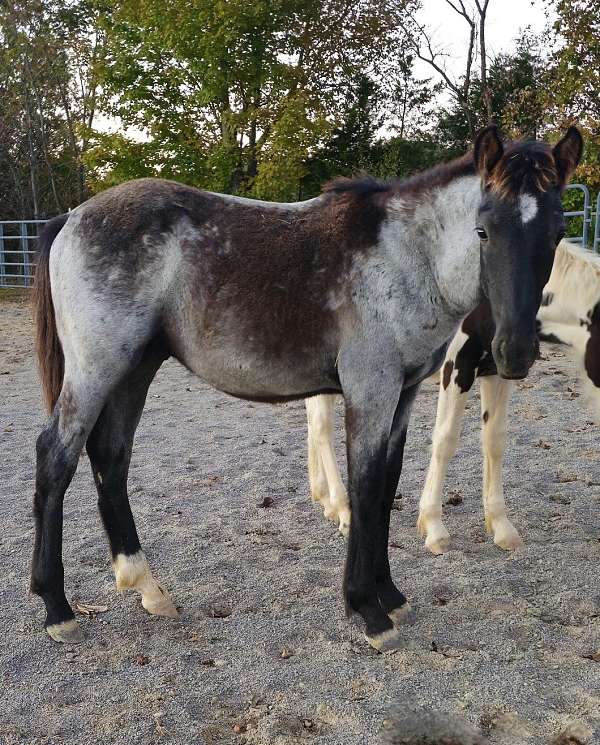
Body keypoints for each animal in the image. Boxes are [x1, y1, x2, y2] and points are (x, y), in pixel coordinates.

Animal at [30, 125, 580, 648]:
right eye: (483, 230)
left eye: (557, 233)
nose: (515, 352)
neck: (406, 257)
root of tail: (70, 219)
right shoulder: (370, 392)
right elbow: (366, 488)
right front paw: (368, 610)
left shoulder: (402, 395)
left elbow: (386, 487)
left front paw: (391, 595)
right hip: (97, 369)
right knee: (57, 455)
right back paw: (58, 609)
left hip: (135, 369)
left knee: (111, 456)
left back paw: (145, 586)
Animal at [414, 237, 600, 552]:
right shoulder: (457, 366)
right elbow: (445, 440)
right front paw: (434, 528)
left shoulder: (499, 370)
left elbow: (494, 441)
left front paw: (500, 526)